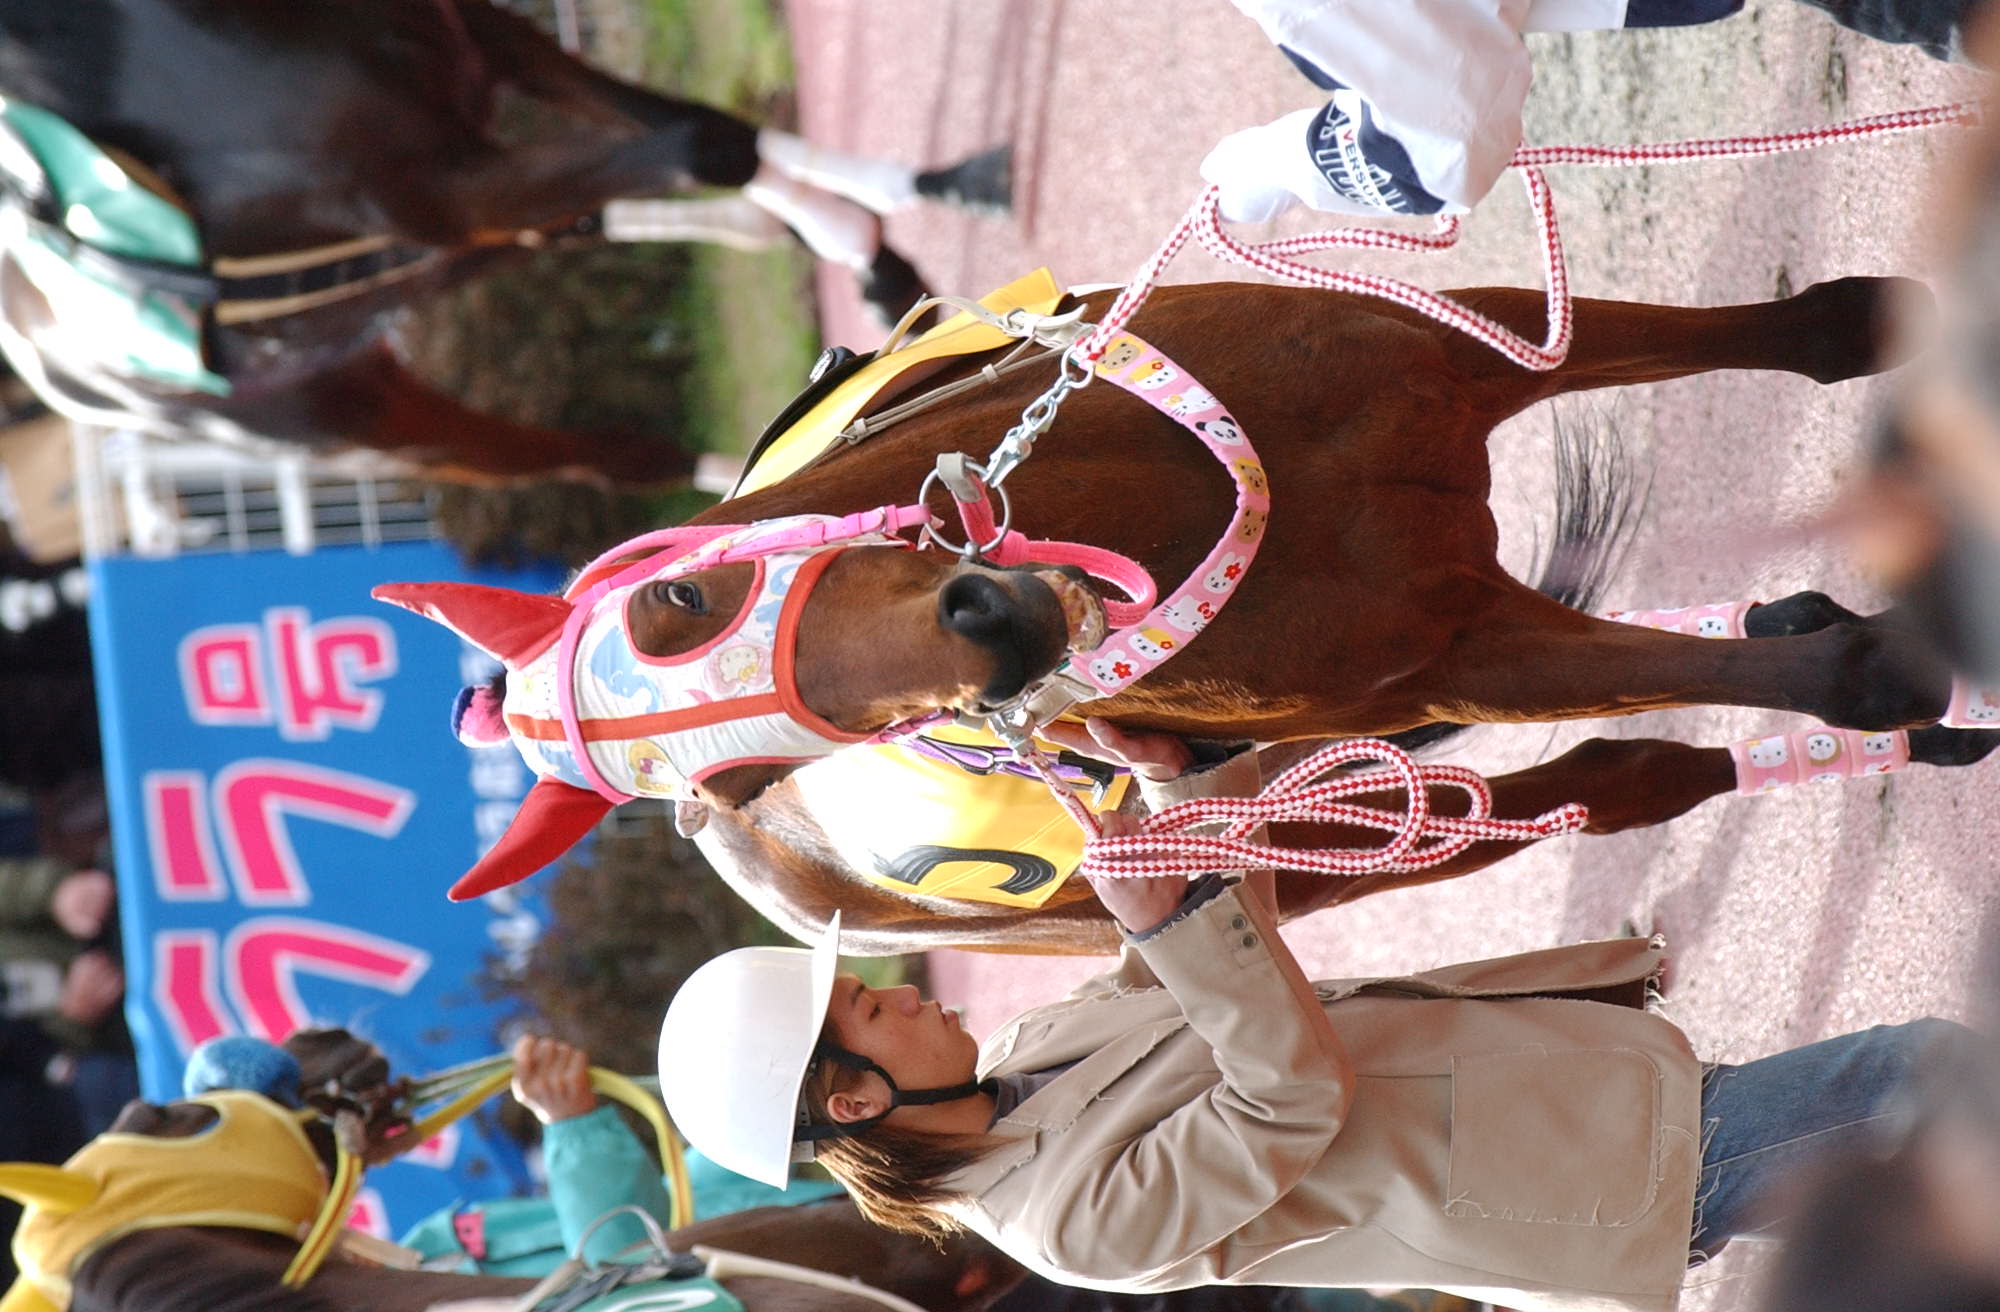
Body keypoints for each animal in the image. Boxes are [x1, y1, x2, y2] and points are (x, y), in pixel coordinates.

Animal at [0, 0, 1005, 484]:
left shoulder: (481, 40)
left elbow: (700, 128)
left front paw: (898, 216)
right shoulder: (434, 190)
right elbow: (701, 144)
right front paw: (866, 246)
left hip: (414, 267)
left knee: (564, 225)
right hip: (368, 422)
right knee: (607, 460)